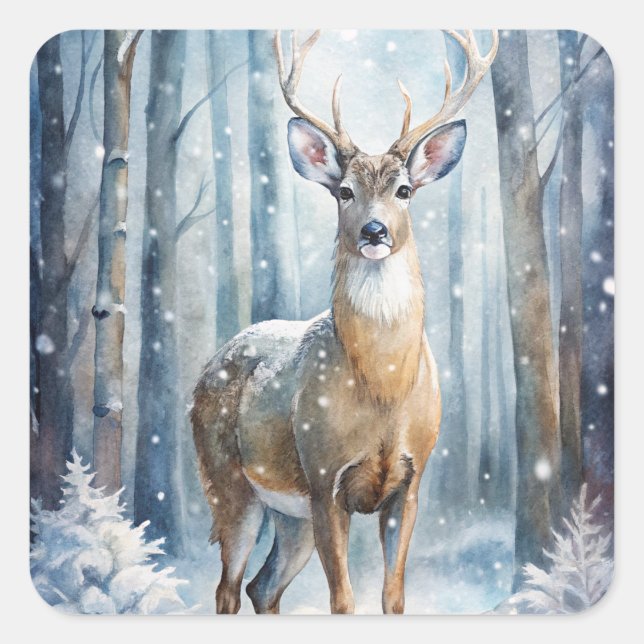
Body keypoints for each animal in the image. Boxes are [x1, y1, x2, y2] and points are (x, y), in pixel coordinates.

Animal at [191, 29, 498, 614]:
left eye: (404, 190)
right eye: (344, 191)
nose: (375, 231)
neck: (382, 387)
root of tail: (212, 362)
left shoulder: (410, 482)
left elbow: (393, 598)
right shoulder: (324, 479)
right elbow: (343, 601)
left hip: (288, 515)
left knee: (262, 586)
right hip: (228, 482)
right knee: (227, 589)